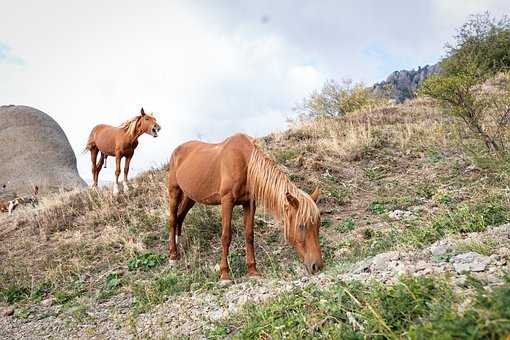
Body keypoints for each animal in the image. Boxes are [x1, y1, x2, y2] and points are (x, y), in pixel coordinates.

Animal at [167, 133, 322, 282]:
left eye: (317, 226)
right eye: (301, 226)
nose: (317, 266)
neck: (244, 162)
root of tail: (176, 151)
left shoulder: (249, 203)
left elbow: (249, 235)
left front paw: (252, 271)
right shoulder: (227, 201)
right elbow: (226, 236)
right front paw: (224, 274)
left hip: (190, 197)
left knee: (180, 218)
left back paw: (179, 250)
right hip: (174, 191)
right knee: (173, 220)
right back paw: (173, 255)